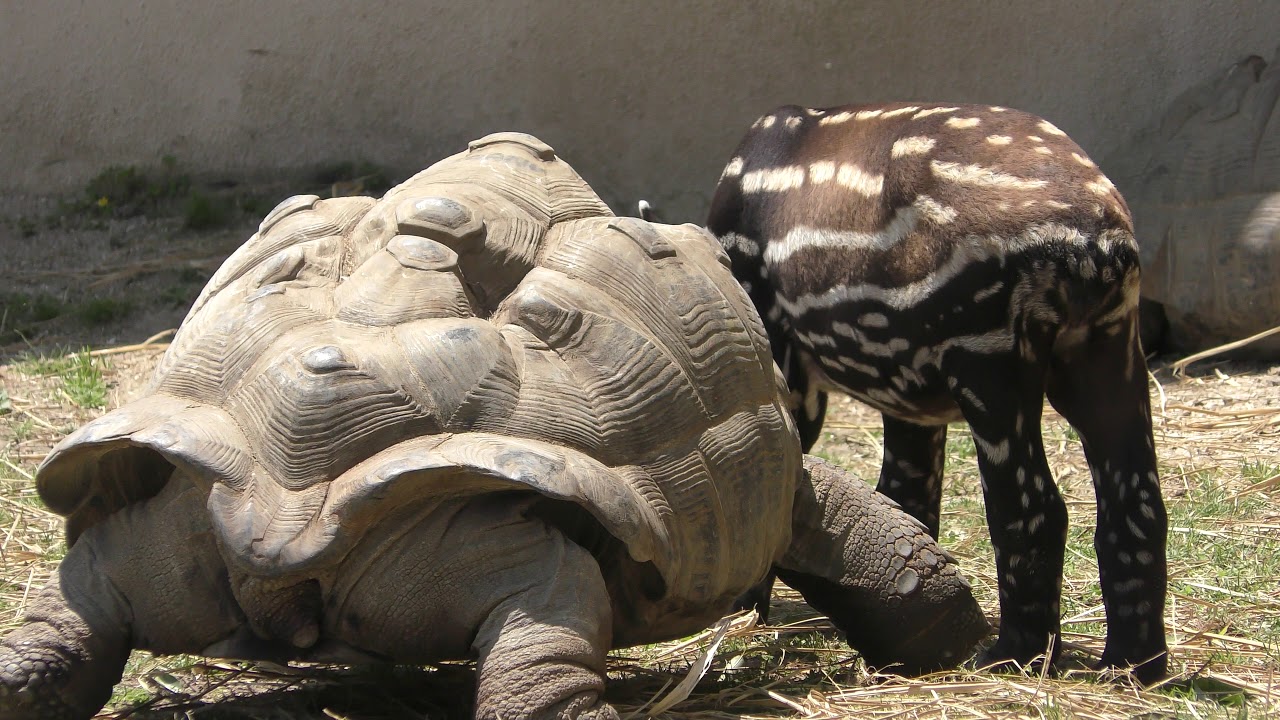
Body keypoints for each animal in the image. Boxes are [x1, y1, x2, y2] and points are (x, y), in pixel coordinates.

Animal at [711, 103, 1172, 681]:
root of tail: (1092, 242)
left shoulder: (776, 343)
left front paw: (742, 612)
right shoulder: (906, 391)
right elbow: (904, 497)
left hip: (986, 351)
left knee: (1031, 507)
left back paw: (1010, 656)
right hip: (1107, 345)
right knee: (1137, 498)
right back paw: (1131, 666)